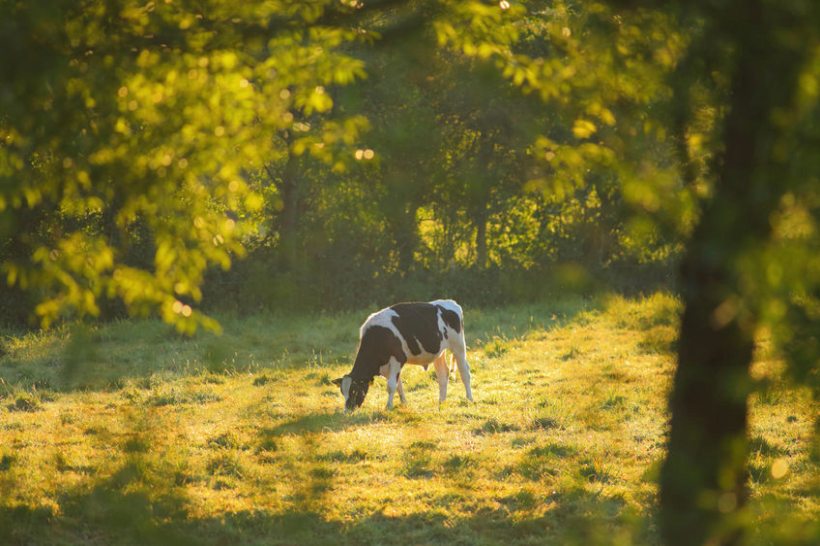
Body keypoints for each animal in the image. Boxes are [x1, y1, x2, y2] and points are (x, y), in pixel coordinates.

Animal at [334, 300, 474, 410]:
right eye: (342, 392)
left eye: (353, 390)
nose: (347, 410)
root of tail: (451, 303)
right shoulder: (387, 366)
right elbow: (398, 385)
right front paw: (404, 403)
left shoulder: (398, 359)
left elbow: (391, 386)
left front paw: (388, 406)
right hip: (439, 353)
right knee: (443, 374)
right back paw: (441, 401)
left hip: (459, 347)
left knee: (465, 373)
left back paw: (469, 398)